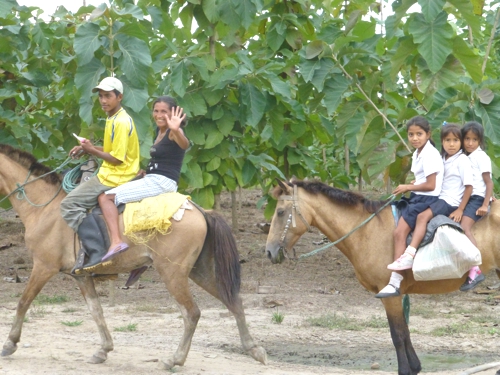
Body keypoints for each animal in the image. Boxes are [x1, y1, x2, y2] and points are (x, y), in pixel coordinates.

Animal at [0, 145, 268, 370]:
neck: (45, 208)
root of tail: (200, 209)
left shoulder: (43, 267)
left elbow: (23, 302)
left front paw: (10, 343)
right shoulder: (81, 276)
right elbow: (96, 311)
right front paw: (104, 349)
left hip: (173, 273)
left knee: (192, 313)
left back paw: (175, 359)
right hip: (199, 271)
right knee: (233, 301)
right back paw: (254, 349)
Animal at [268, 179, 500, 375]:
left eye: (280, 212)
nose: (269, 252)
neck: (367, 230)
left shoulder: (389, 295)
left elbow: (397, 334)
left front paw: (405, 369)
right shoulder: (397, 296)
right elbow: (405, 331)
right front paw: (415, 366)